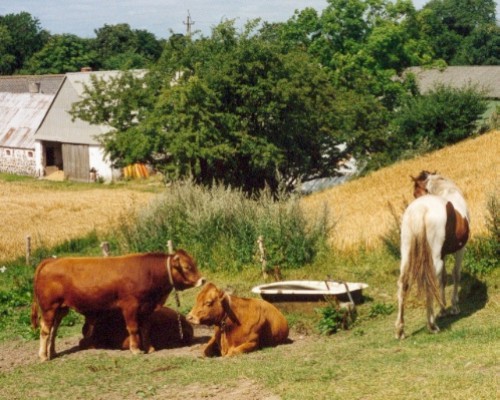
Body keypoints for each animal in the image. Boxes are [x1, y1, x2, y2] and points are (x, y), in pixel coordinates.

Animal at [31, 250, 205, 360]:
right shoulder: (130, 307)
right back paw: (43, 356)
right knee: (45, 330)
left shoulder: (146, 309)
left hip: (61, 309)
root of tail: (52, 261)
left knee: (53, 330)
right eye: (187, 267)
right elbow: (133, 328)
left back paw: (52, 352)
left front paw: (149, 348)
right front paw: (135, 349)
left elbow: (145, 329)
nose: (202, 280)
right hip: (49, 308)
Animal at [394, 170, 468, 340]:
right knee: (429, 282)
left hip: (406, 256)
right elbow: (455, 274)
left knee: (403, 284)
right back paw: (432, 325)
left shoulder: (443, 254)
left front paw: (443, 308)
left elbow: (443, 279)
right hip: (434, 259)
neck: (447, 190)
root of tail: (420, 209)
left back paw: (400, 330)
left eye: (415, 192)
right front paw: (453, 307)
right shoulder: (459, 250)